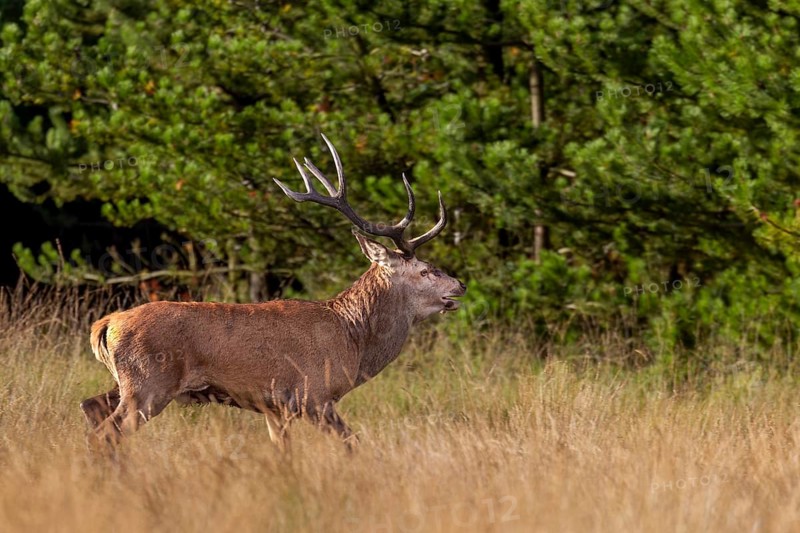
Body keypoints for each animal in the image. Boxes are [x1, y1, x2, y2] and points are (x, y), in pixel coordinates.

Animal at [79, 134, 466, 452]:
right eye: (425, 270)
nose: (460, 285)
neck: (353, 338)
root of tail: (106, 325)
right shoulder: (313, 395)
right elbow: (352, 442)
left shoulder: (275, 408)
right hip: (149, 382)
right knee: (106, 432)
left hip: (127, 383)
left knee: (90, 407)